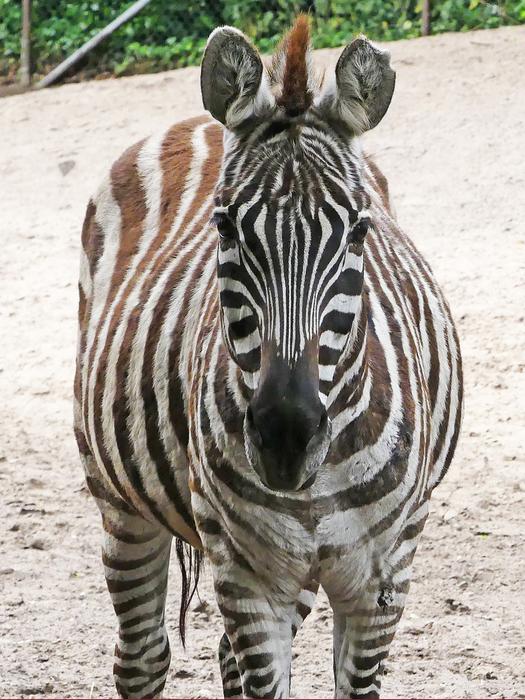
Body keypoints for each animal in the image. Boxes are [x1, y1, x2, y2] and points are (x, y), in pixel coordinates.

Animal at [74, 15, 463, 699]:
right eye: (225, 227)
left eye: (360, 229)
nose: (285, 435)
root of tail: (200, 120)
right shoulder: (248, 574)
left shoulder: (384, 577)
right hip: (118, 499)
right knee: (143, 658)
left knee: (221, 659)